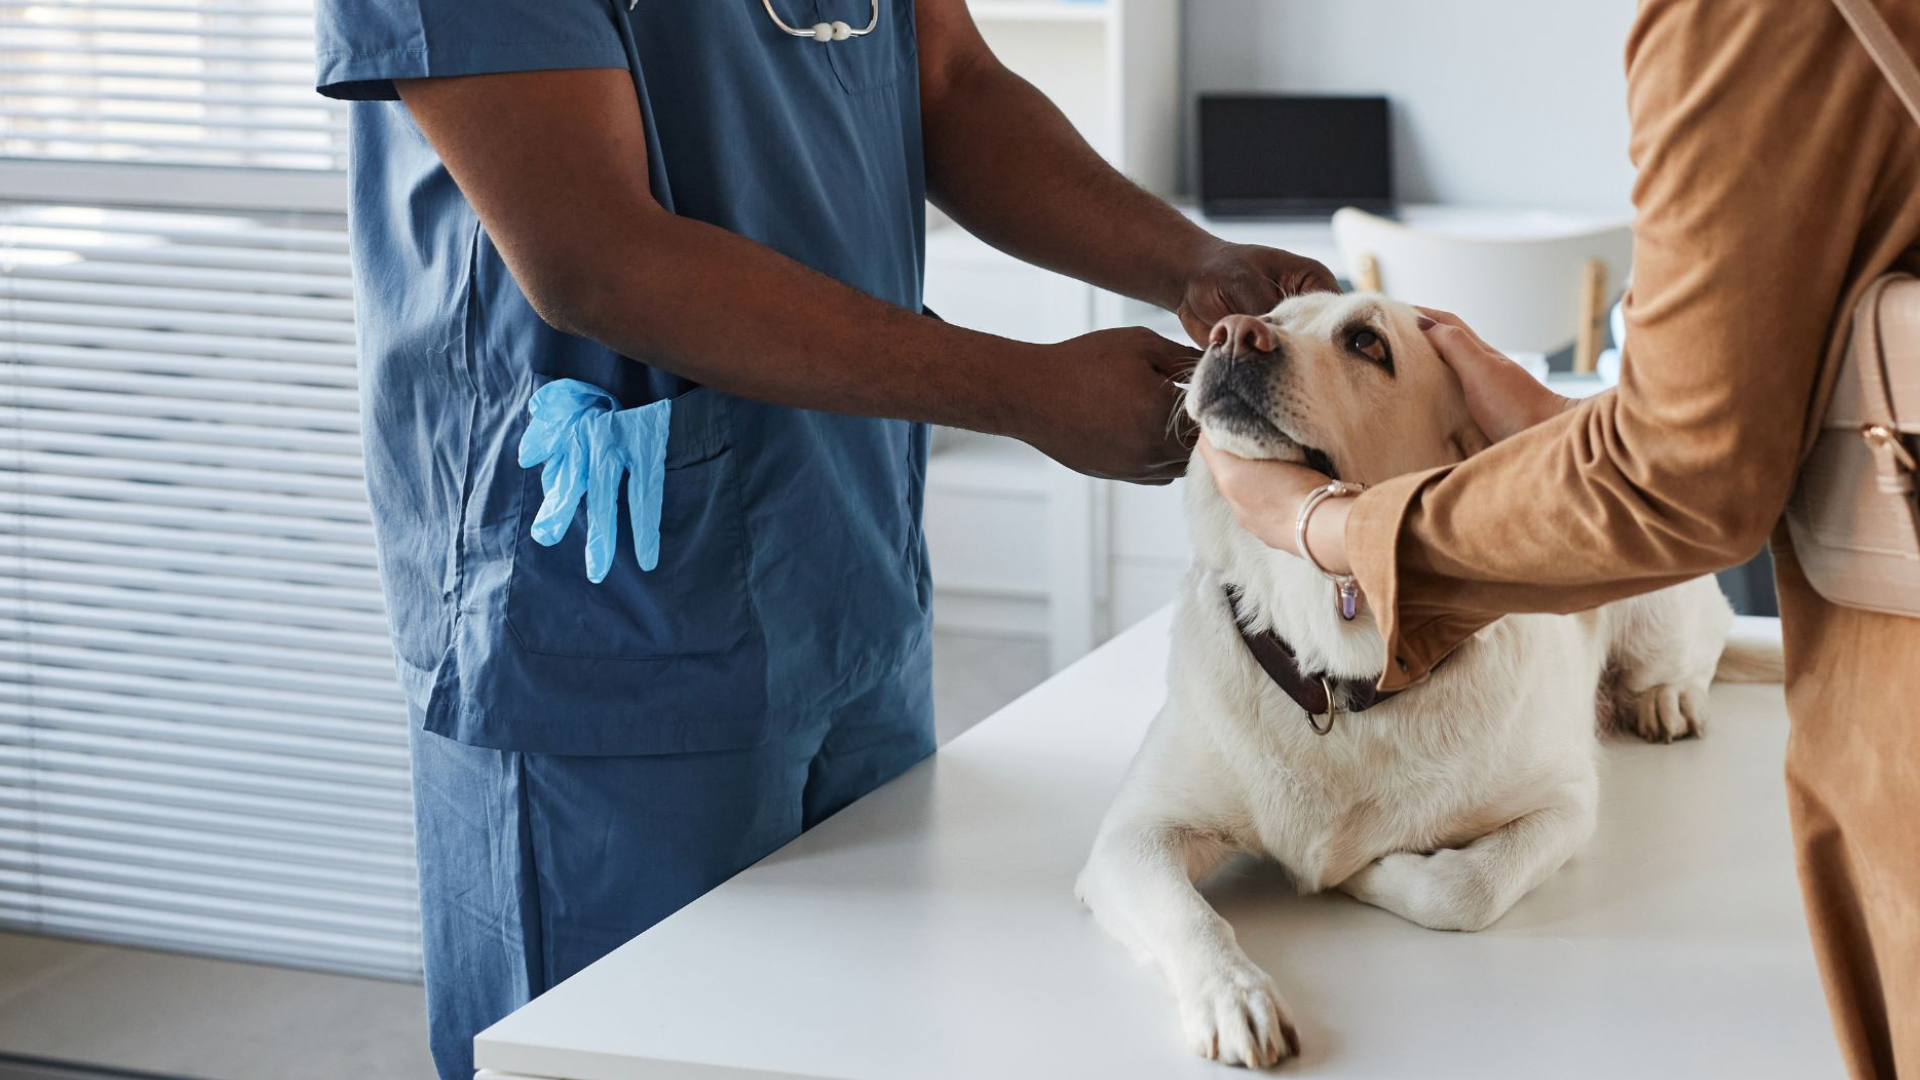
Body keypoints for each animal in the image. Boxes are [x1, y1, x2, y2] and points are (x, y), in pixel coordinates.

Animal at [1082, 290, 1781, 1060]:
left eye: (1367, 342)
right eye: (1272, 314)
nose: (1232, 334)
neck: (1339, 677)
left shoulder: (1565, 801)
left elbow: (1468, 890)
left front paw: (1369, 871)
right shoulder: (1131, 837)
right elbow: (1191, 916)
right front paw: (1235, 997)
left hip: (1655, 593)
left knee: (1700, 649)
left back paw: (1666, 700)